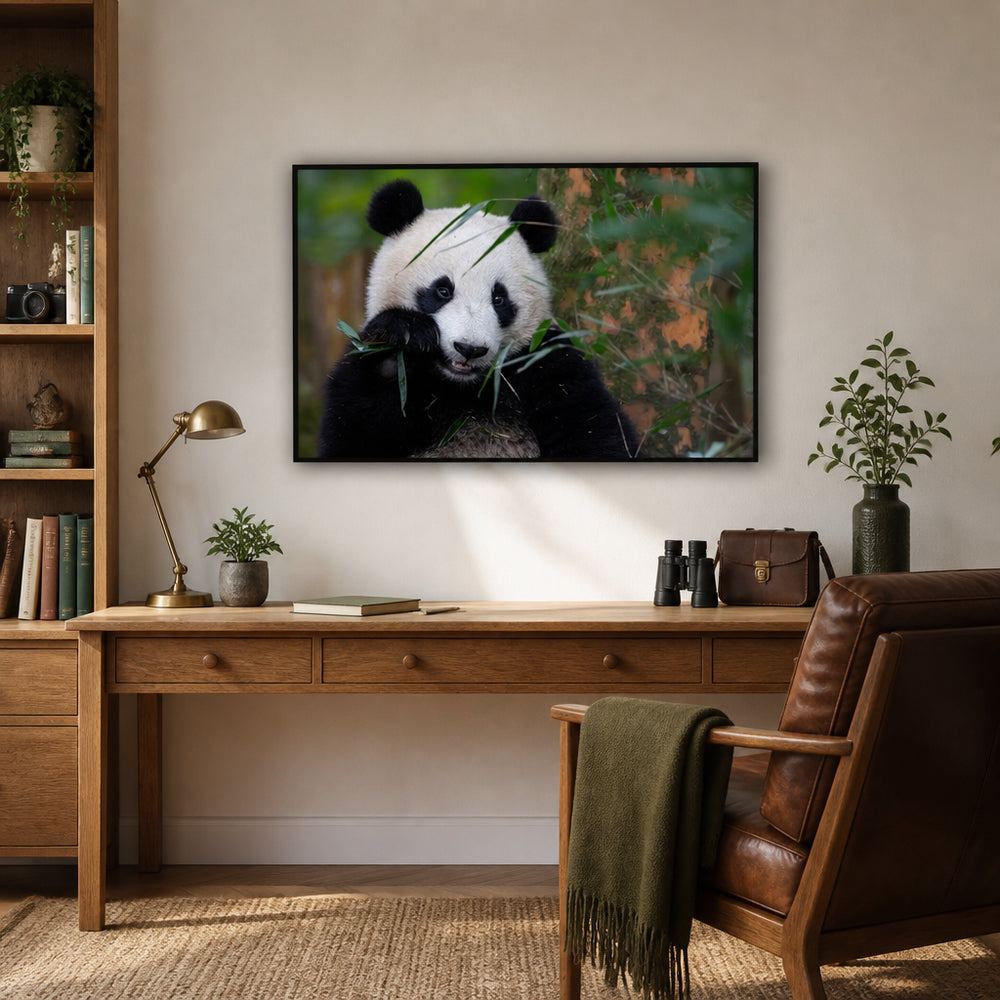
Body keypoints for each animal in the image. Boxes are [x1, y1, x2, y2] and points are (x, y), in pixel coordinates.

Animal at [316, 179, 637, 460]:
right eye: (442, 290)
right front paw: (402, 341)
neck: (464, 386)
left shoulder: (545, 362)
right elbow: (354, 433)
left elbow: (595, 431)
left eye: (499, 298)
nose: (469, 349)